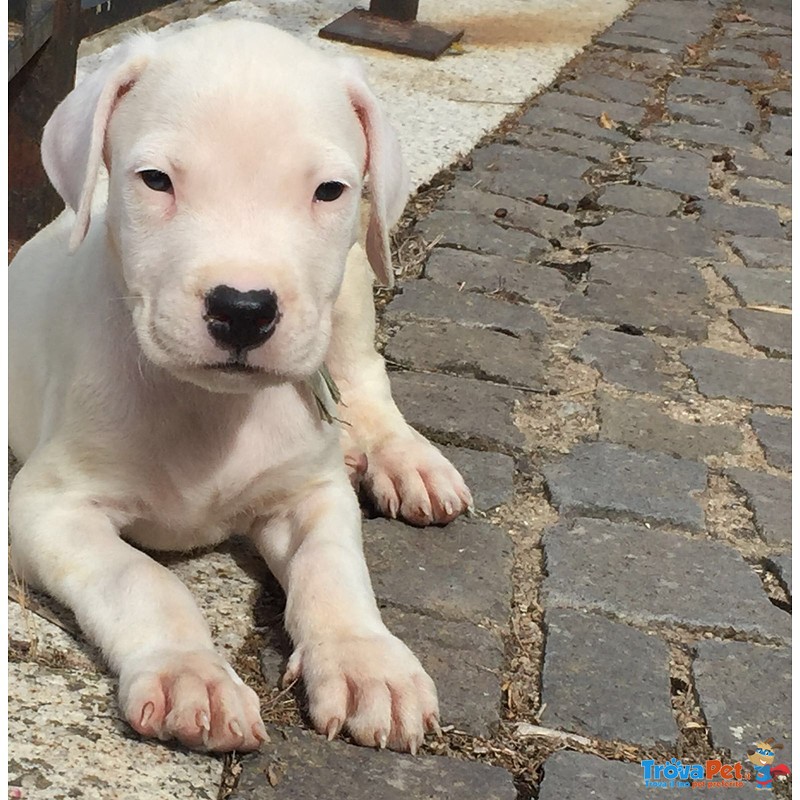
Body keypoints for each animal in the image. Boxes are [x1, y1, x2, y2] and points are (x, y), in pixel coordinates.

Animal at [7, 20, 468, 756]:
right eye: (156, 180)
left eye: (330, 190)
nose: (244, 309)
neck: (213, 408)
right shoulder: (49, 507)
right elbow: (142, 579)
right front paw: (190, 674)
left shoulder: (311, 496)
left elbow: (334, 568)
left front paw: (367, 661)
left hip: (352, 290)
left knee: (366, 381)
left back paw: (406, 460)